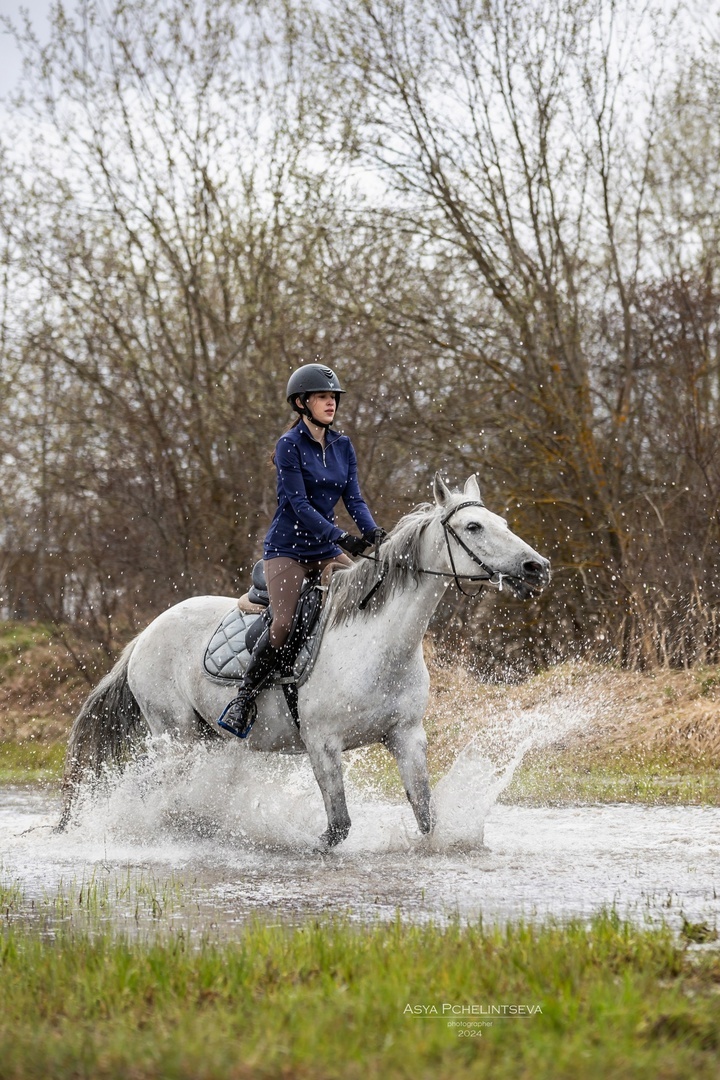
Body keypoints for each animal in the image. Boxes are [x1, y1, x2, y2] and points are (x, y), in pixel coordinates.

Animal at [62, 477, 548, 846]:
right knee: (150, 788)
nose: (536, 567)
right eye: (474, 526)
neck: (378, 644)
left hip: (205, 741)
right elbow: (338, 827)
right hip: (175, 735)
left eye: (502, 522)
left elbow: (426, 817)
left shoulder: (407, 737)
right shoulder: (322, 744)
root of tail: (146, 634)